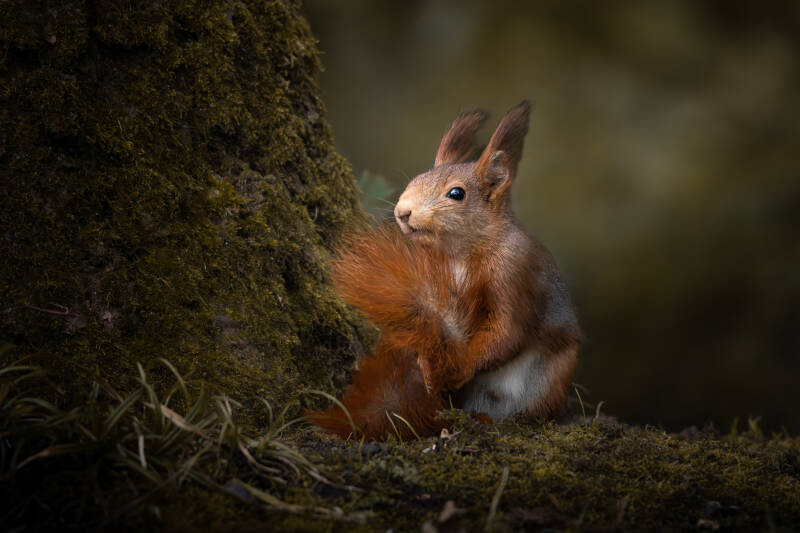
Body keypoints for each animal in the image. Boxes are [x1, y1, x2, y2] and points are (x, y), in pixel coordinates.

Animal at [307, 101, 581, 440]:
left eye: (456, 194)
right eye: (416, 179)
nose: (402, 212)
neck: (461, 253)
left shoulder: (515, 274)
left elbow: (508, 330)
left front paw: (460, 366)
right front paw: (427, 363)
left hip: (550, 378)